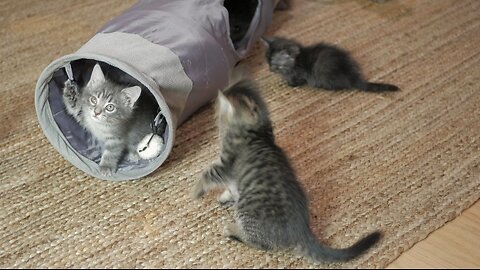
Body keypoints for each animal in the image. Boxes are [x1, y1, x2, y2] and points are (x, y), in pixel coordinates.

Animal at [192, 79, 382, 262]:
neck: (258, 131)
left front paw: (195, 191)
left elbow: (207, 174)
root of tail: (300, 229)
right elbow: (230, 188)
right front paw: (225, 195)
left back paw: (232, 229)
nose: (216, 100)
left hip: (247, 208)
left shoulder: (225, 163)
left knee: (260, 243)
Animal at [260, 36, 400, 92]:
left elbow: (297, 80)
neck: (297, 60)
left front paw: (290, 84)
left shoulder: (301, 73)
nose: (270, 70)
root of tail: (352, 77)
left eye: (276, 65)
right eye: (267, 61)